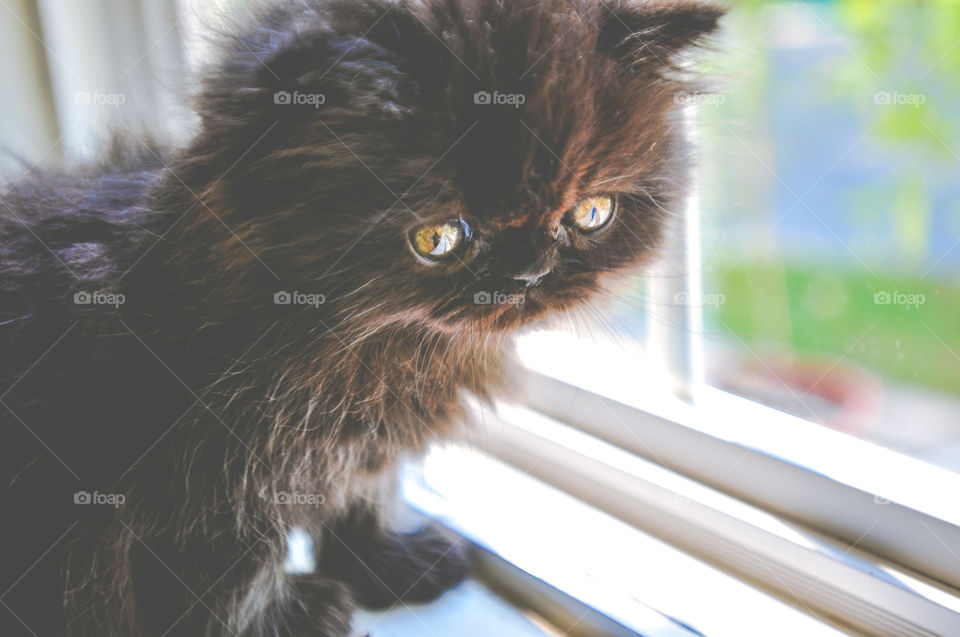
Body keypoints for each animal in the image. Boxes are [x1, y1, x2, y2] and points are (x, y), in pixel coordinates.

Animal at [0, 2, 720, 632]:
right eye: (439, 237)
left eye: (591, 213)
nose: (529, 276)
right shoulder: (198, 481)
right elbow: (231, 573)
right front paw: (292, 619)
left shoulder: (364, 446)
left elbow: (363, 498)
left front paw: (386, 564)